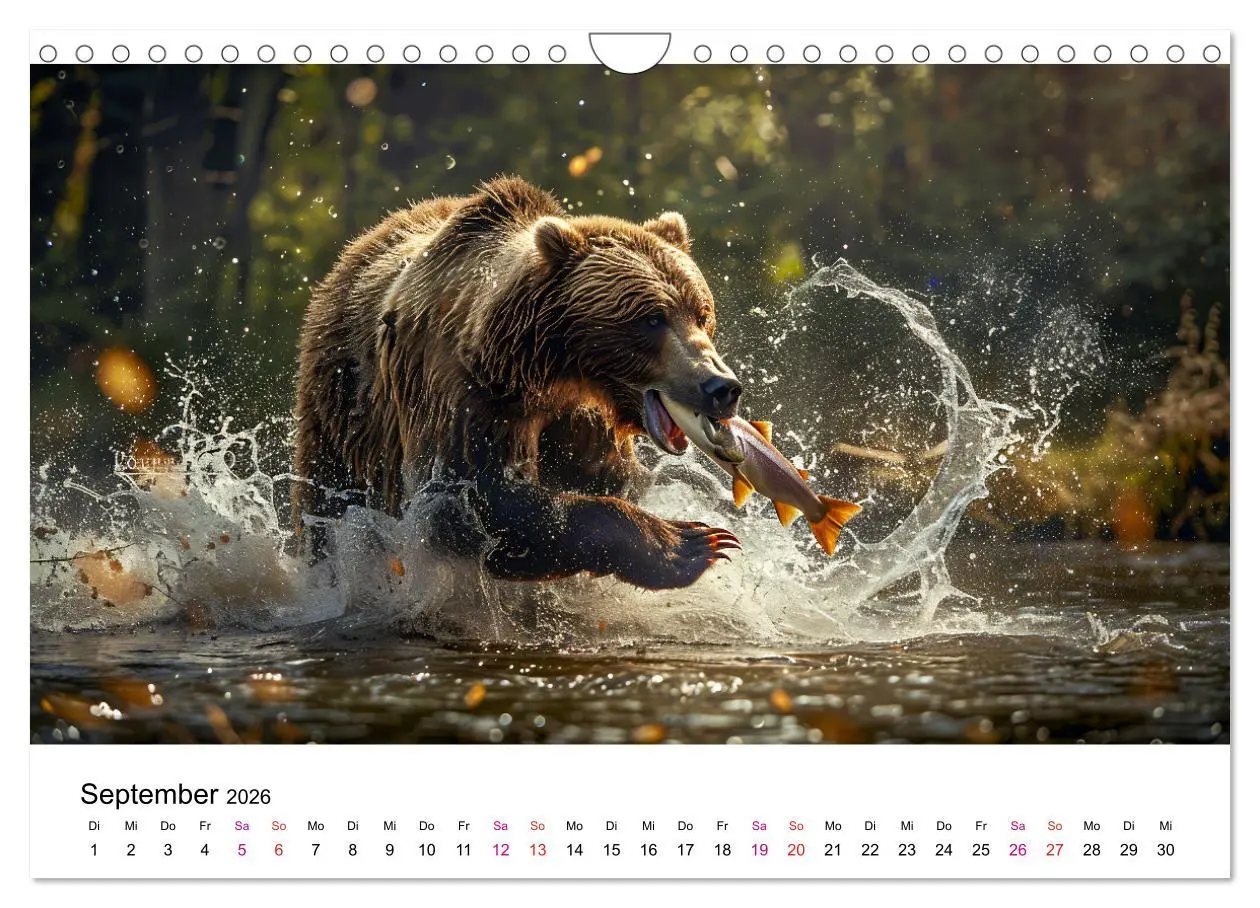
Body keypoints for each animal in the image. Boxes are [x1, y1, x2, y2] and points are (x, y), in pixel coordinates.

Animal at [293, 176, 744, 589]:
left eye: (702, 313)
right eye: (652, 319)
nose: (720, 386)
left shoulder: (581, 418)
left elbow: (612, 476)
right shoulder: (462, 393)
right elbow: (470, 502)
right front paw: (690, 542)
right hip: (342, 408)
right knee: (330, 500)